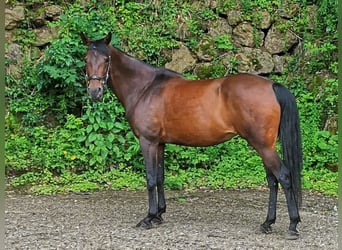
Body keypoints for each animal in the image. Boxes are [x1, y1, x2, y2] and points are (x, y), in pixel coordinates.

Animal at [80, 32, 302, 239]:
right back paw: (267, 223)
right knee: (272, 181)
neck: (145, 88)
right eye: (86, 58)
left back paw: (292, 225)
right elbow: (160, 177)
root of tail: (271, 85)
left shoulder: (147, 142)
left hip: (263, 146)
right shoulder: (159, 144)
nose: (94, 91)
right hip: (264, 146)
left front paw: (148, 218)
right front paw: (159, 215)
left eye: (106, 59)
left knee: (283, 176)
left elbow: (150, 178)